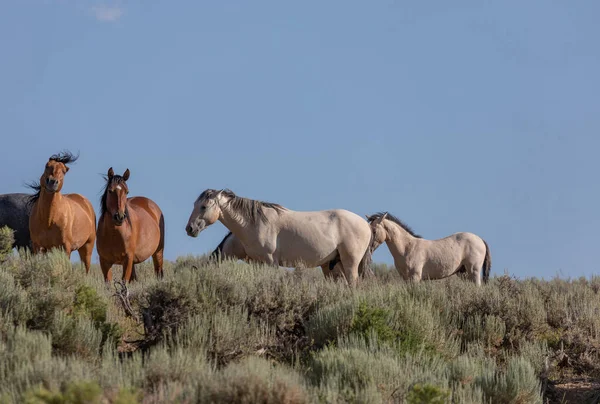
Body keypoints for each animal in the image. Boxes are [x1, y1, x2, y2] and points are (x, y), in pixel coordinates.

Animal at [185, 190, 372, 288]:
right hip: (332, 264)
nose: (190, 229)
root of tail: (366, 224)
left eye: (203, 206)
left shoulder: (270, 262)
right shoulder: (258, 262)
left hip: (350, 263)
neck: (255, 223)